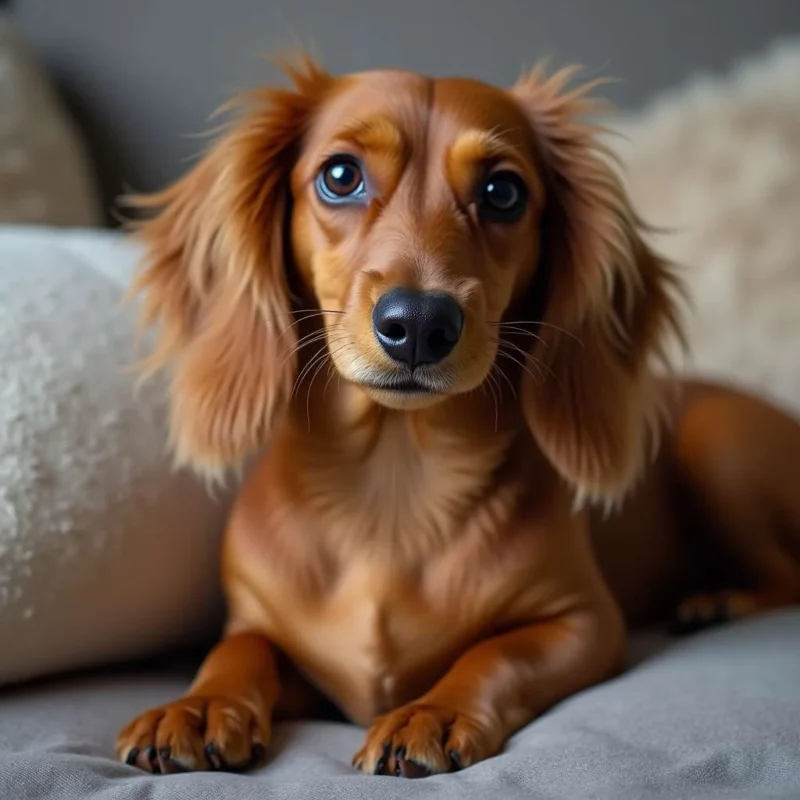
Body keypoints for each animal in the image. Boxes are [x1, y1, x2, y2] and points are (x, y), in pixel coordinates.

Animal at [112, 59, 800, 780]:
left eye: (503, 191)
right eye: (340, 176)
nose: (419, 323)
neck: (393, 488)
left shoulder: (584, 623)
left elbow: (496, 653)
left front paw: (430, 712)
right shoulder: (264, 631)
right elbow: (238, 649)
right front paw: (197, 705)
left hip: (718, 444)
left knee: (789, 575)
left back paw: (719, 601)